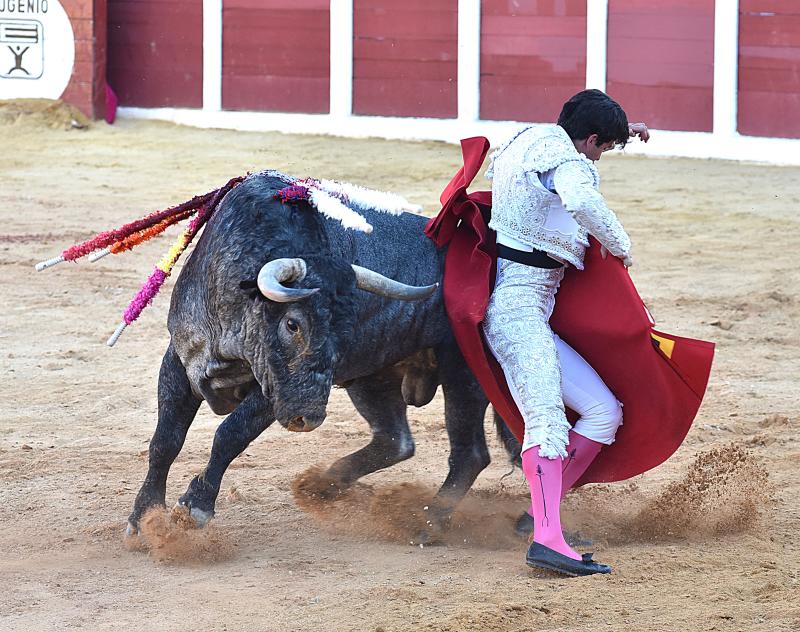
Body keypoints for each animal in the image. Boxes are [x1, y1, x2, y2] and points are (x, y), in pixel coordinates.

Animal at [127, 174, 496, 540]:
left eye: (346, 329)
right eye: (293, 323)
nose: (309, 418)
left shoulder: (272, 391)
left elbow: (230, 434)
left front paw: (195, 506)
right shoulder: (179, 360)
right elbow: (165, 441)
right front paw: (143, 516)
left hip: (464, 376)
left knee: (469, 454)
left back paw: (427, 524)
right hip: (374, 378)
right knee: (396, 440)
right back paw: (321, 487)